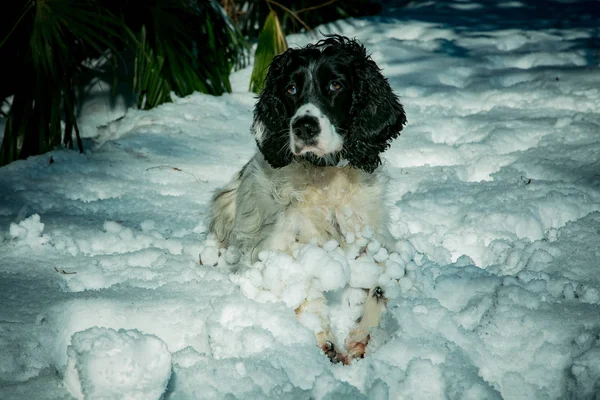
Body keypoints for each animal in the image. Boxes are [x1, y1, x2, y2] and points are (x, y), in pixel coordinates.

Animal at [209, 35, 406, 362]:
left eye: (336, 85)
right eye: (290, 88)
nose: (304, 126)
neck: (324, 178)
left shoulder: (376, 243)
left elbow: (380, 287)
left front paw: (359, 337)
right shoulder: (274, 250)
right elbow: (299, 289)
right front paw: (324, 339)